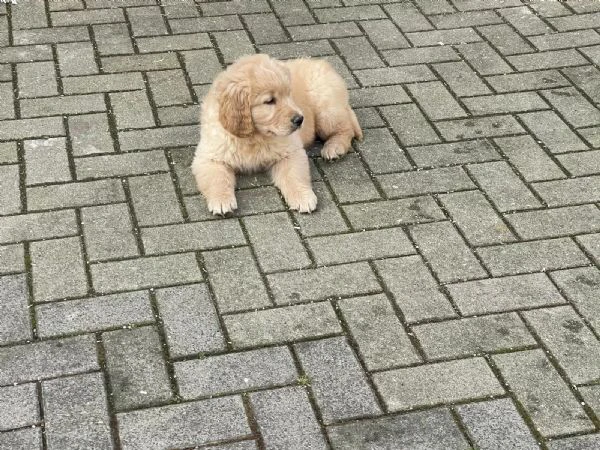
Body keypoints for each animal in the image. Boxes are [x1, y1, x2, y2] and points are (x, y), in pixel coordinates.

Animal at [191, 52, 360, 214]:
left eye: (288, 94)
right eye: (269, 101)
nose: (300, 119)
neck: (254, 136)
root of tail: (321, 63)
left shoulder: (291, 151)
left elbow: (294, 176)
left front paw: (303, 197)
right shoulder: (210, 156)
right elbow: (216, 179)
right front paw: (221, 200)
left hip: (325, 110)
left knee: (346, 128)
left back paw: (334, 148)